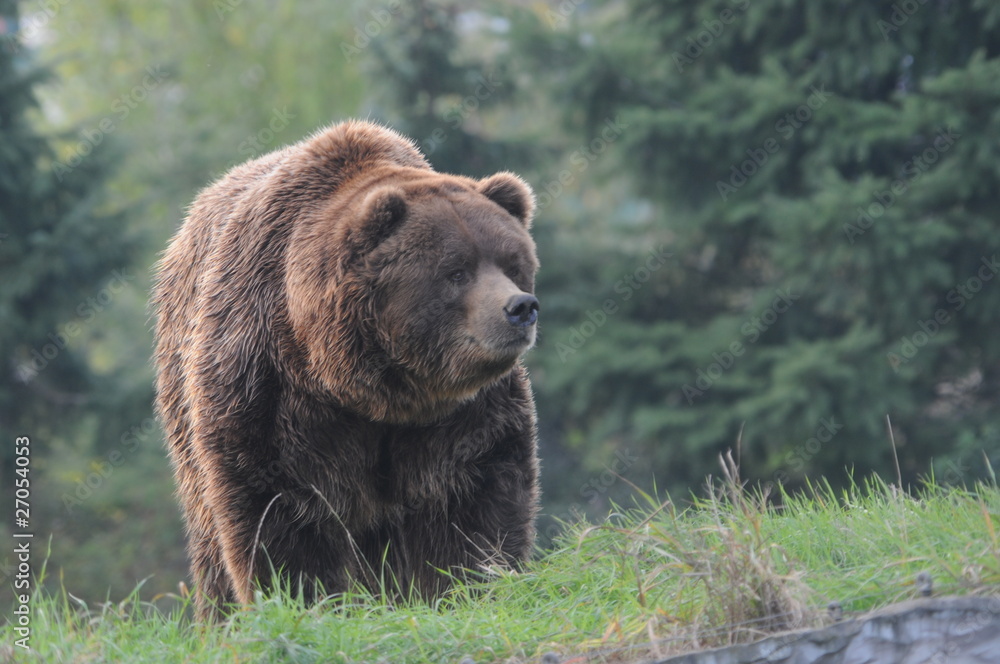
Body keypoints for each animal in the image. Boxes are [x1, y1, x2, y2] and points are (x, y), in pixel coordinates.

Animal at [150, 118, 540, 616]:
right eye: (456, 271)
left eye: (513, 263)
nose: (520, 308)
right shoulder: (270, 386)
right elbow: (278, 505)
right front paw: (300, 598)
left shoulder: (457, 412)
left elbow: (471, 491)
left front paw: (469, 584)